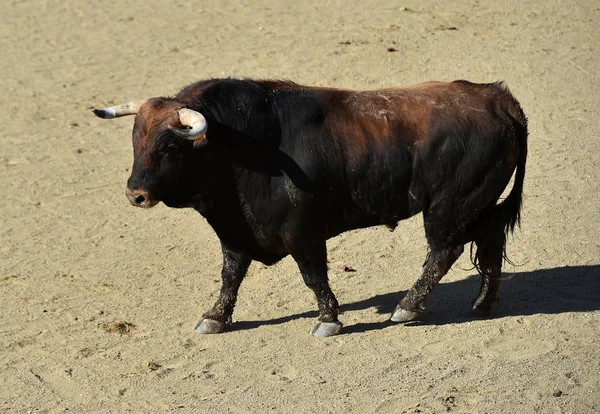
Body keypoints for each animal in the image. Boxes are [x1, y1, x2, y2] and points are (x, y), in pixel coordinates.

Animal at [91, 79, 528, 338]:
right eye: (135, 141)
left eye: (168, 146)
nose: (135, 195)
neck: (242, 146)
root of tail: (498, 98)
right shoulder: (235, 230)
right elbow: (230, 276)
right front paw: (214, 317)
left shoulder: (301, 232)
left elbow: (313, 276)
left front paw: (328, 320)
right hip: (478, 204)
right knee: (489, 241)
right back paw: (483, 304)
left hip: (449, 207)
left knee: (444, 251)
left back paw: (407, 307)